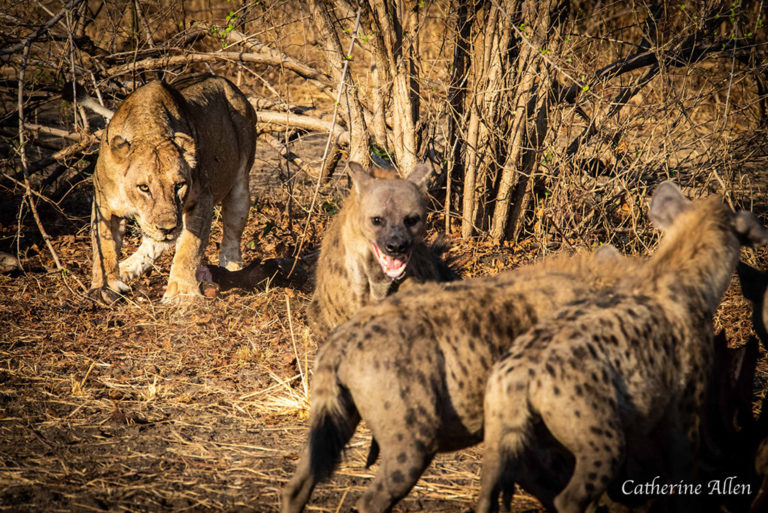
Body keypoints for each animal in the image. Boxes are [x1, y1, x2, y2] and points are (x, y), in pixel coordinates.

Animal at [88, 74, 257, 304]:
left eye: (179, 185)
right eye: (144, 187)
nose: (167, 228)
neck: (148, 130)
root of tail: (227, 82)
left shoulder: (202, 200)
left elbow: (189, 248)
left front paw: (182, 294)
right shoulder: (104, 203)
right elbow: (103, 247)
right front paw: (103, 287)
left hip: (240, 187)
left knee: (231, 236)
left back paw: (231, 269)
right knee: (155, 242)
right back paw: (126, 268)